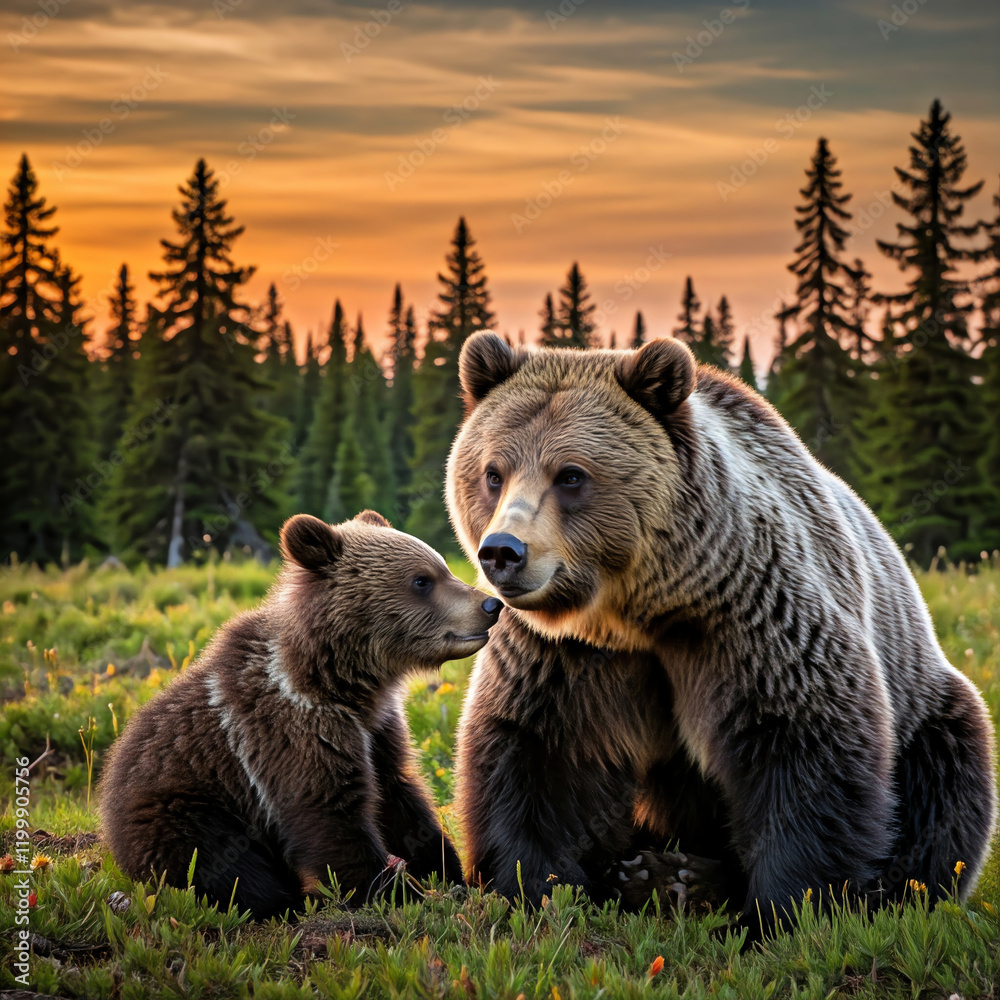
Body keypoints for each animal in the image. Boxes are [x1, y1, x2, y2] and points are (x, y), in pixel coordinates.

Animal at [99, 510, 502, 919]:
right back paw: (292, 899)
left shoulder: (377, 729)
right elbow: (330, 816)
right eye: (422, 580)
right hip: (183, 805)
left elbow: (398, 796)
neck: (340, 680)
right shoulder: (290, 728)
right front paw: (399, 892)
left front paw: (449, 873)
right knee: (220, 860)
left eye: (442, 567)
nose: (490, 606)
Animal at [446, 331, 997, 936]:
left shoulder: (751, 620)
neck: (640, 614)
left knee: (946, 778)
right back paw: (655, 872)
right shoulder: (561, 654)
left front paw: (778, 911)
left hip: (925, 700)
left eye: (570, 474)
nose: (502, 551)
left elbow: (803, 747)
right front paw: (534, 889)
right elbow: (537, 755)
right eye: (493, 472)